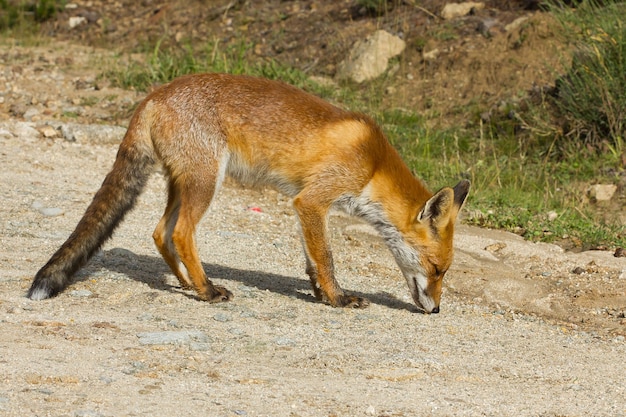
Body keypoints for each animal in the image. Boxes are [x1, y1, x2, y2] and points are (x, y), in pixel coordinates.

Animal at [29, 73, 468, 312]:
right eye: (437, 270)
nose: (436, 310)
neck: (373, 165)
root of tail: (154, 95)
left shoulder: (304, 205)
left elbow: (311, 260)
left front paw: (320, 294)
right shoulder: (312, 201)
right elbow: (325, 258)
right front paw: (338, 299)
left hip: (183, 183)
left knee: (159, 232)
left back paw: (188, 283)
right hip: (206, 182)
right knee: (181, 233)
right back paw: (207, 290)